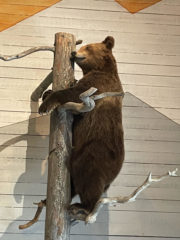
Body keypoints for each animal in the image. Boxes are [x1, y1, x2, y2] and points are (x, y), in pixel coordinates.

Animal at [38, 36, 124, 218]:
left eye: (88, 47)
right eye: (84, 45)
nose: (73, 52)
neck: (100, 68)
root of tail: (114, 175)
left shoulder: (99, 85)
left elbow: (74, 93)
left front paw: (45, 106)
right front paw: (47, 93)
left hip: (95, 152)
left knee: (88, 177)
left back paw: (82, 207)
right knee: (74, 179)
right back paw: (49, 200)